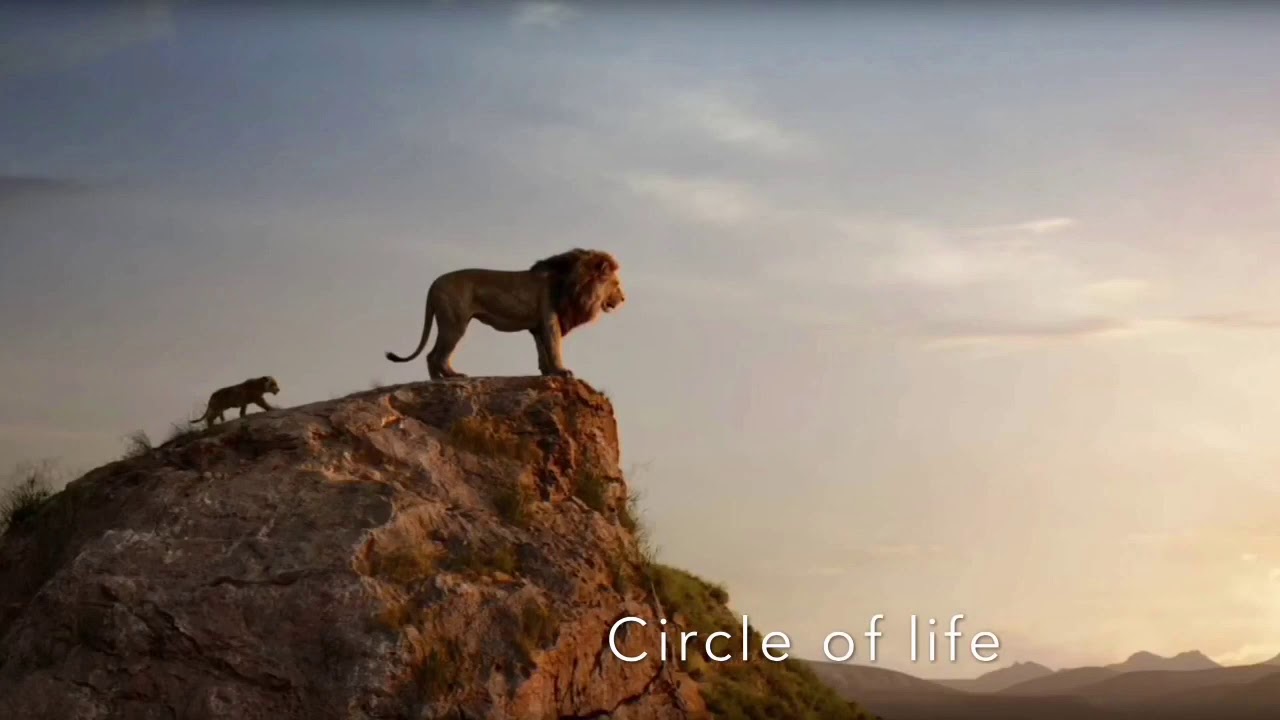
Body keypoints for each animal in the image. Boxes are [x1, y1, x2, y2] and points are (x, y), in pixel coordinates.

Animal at [384, 248, 625, 379]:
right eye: (616, 284)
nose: (623, 299)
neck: (575, 284)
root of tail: (433, 284)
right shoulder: (550, 319)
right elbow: (554, 347)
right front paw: (562, 371)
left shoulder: (538, 325)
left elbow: (542, 350)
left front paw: (548, 372)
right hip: (455, 322)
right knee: (437, 355)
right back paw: (452, 377)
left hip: (447, 321)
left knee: (430, 356)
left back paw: (437, 381)